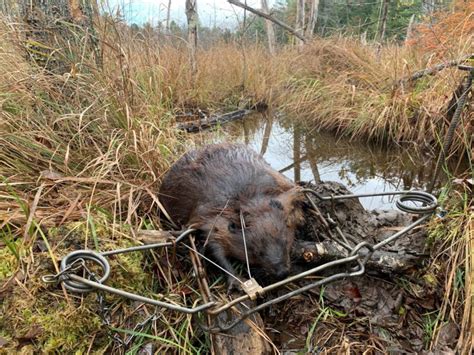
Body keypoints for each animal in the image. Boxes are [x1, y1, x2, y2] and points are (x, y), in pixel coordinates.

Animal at [159, 144, 306, 290]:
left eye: (285, 242)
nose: (282, 272)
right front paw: (237, 282)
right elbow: (213, 248)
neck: (246, 198)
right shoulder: (210, 218)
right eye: (257, 252)